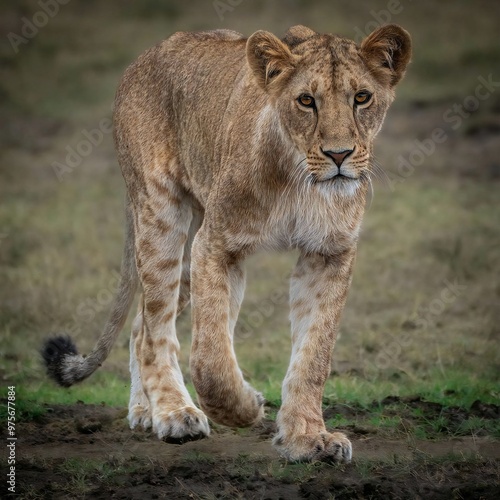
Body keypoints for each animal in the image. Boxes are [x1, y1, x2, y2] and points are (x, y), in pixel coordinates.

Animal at [42, 24, 410, 460]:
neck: (300, 181)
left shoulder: (328, 253)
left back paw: (144, 410)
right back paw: (173, 414)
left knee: (139, 324)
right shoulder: (217, 246)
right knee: (155, 329)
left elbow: (313, 356)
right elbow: (211, 360)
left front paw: (308, 438)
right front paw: (248, 407)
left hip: (188, 248)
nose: (340, 155)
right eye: (306, 100)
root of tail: (149, 52)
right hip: (162, 216)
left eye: (362, 97)